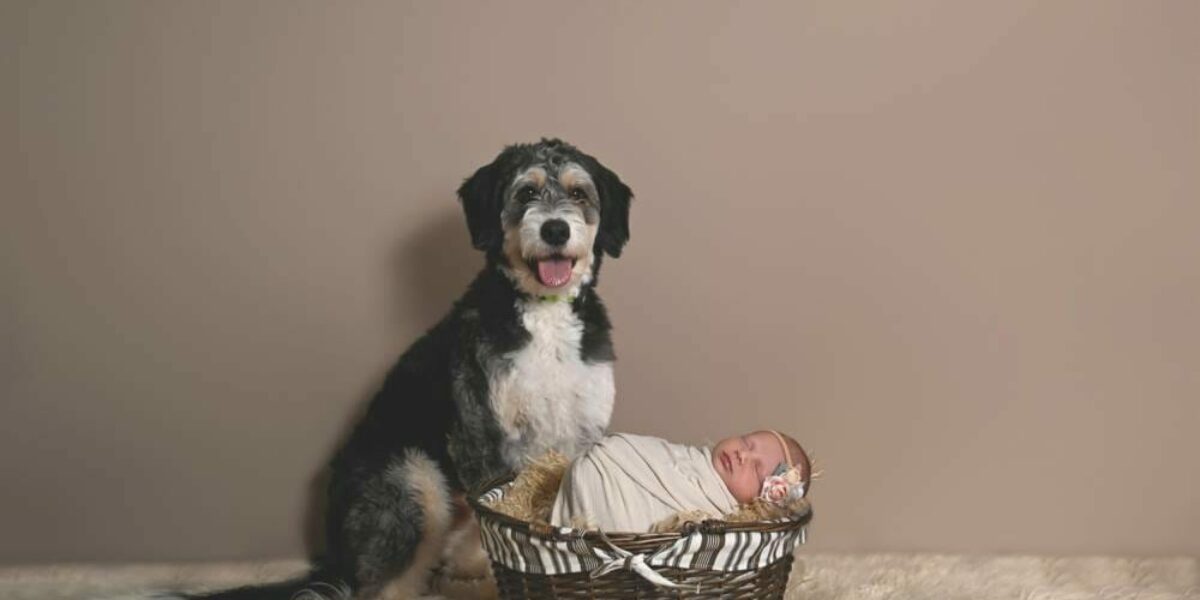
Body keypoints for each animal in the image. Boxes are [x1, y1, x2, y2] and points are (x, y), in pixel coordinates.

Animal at [187, 139, 633, 600]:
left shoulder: (580, 430)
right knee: (386, 585)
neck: (544, 316)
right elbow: (493, 517)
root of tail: (335, 553)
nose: (555, 230)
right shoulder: (479, 431)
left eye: (578, 194)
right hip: (413, 480)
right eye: (526, 192)